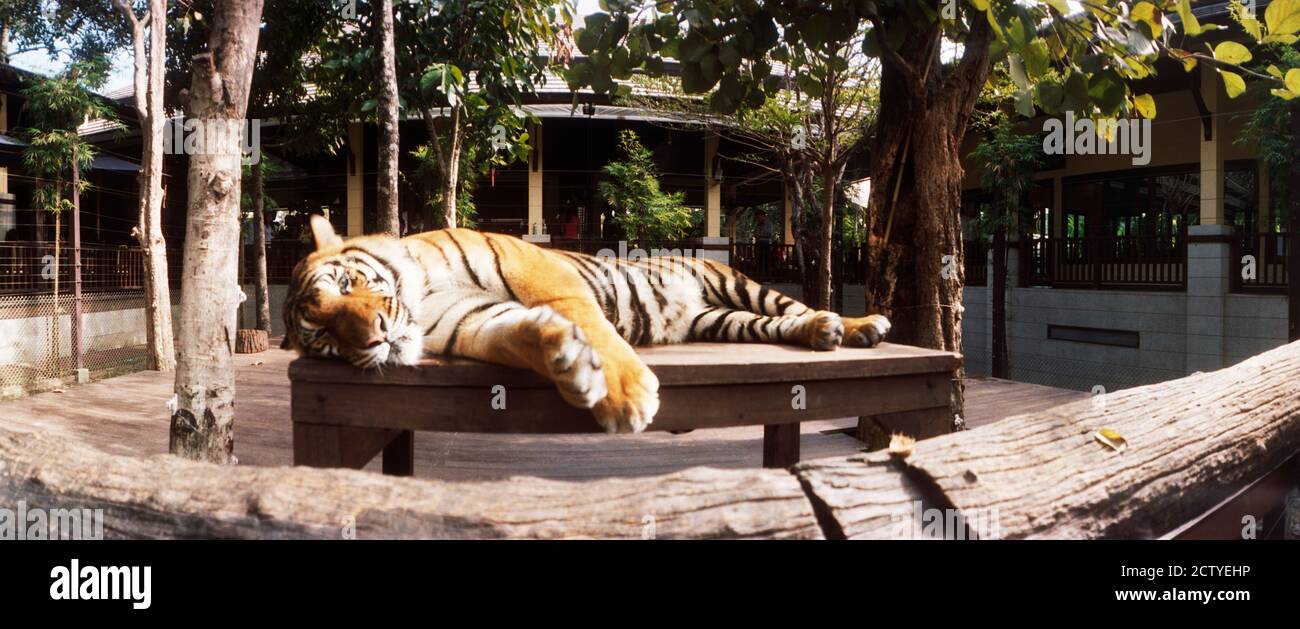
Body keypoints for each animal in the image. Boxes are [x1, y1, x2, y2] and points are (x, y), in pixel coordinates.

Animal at [282, 215, 894, 431]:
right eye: (327, 338)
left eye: (346, 286)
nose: (376, 336)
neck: (422, 298)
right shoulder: (472, 320)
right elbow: (514, 335)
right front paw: (564, 358)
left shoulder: (538, 270)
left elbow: (591, 321)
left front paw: (623, 396)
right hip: (724, 319)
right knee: (777, 327)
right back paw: (824, 334)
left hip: (738, 285)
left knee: (793, 307)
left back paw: (859, 325)